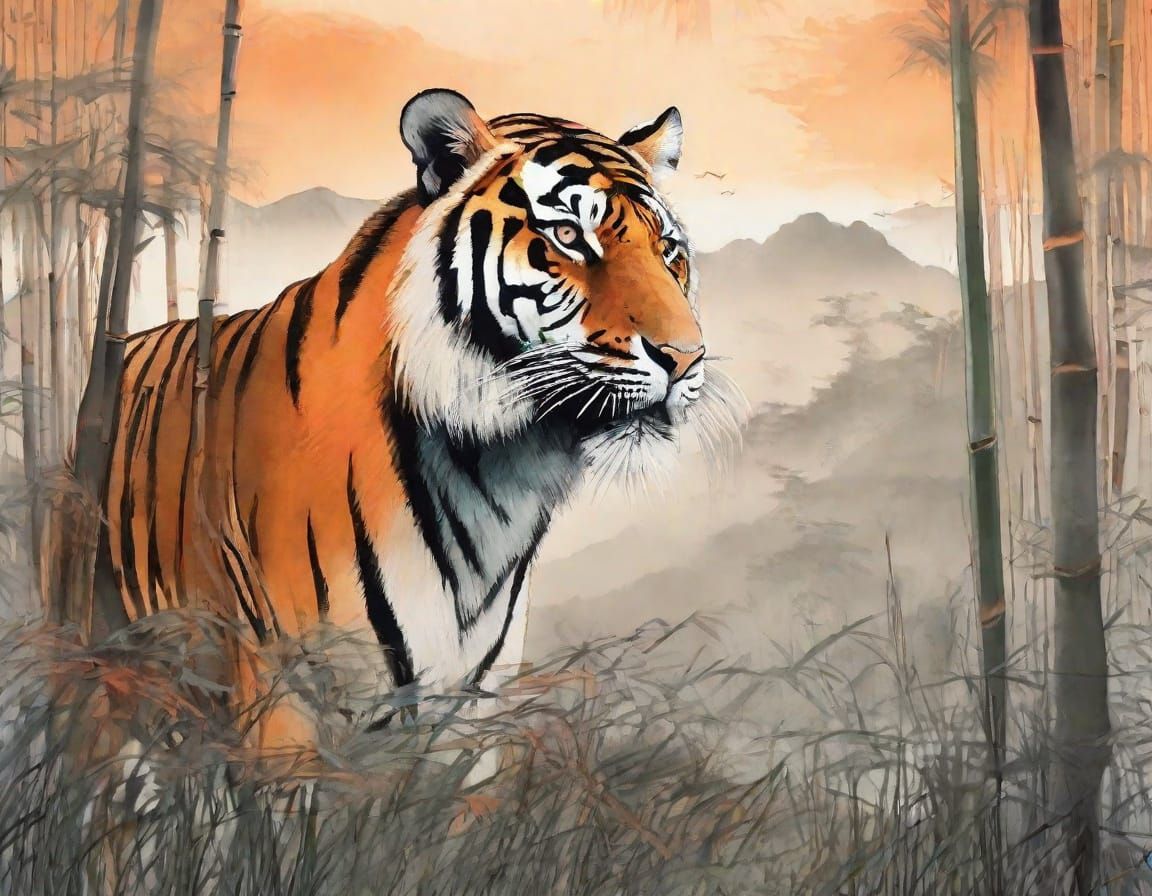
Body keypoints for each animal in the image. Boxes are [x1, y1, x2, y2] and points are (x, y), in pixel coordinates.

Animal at [99, 88, 745, 748]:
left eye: (669, 252)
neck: (499, 473)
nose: (685, 356)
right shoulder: (287, 695)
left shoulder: (470, 705)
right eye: (567, 234)